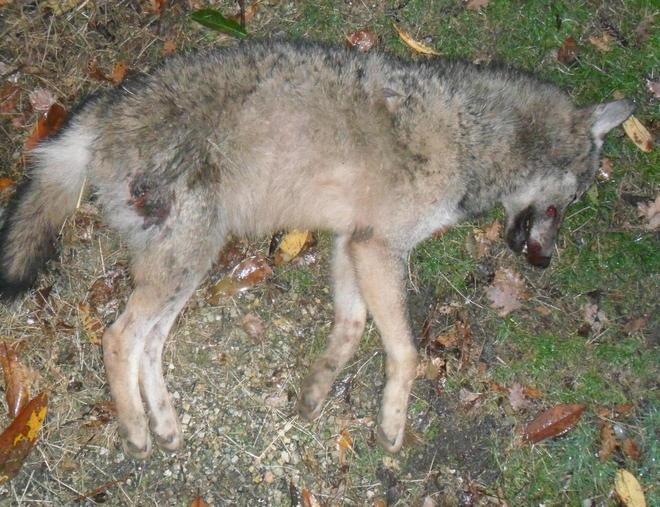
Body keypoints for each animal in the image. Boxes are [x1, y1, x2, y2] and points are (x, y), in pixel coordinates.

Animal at [0, 40, 632, 458]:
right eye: (566, 204)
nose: (545, 260)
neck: (473, 133)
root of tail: (109, 102)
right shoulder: (378, 248)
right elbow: (407, 353)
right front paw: (391, 424)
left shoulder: (350, 244)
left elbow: (350, 328)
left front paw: (316, 391)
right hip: (186, 260)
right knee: (117, 338)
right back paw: (135, 431)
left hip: (189, 265)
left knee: (147, 346)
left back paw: (165, 423)